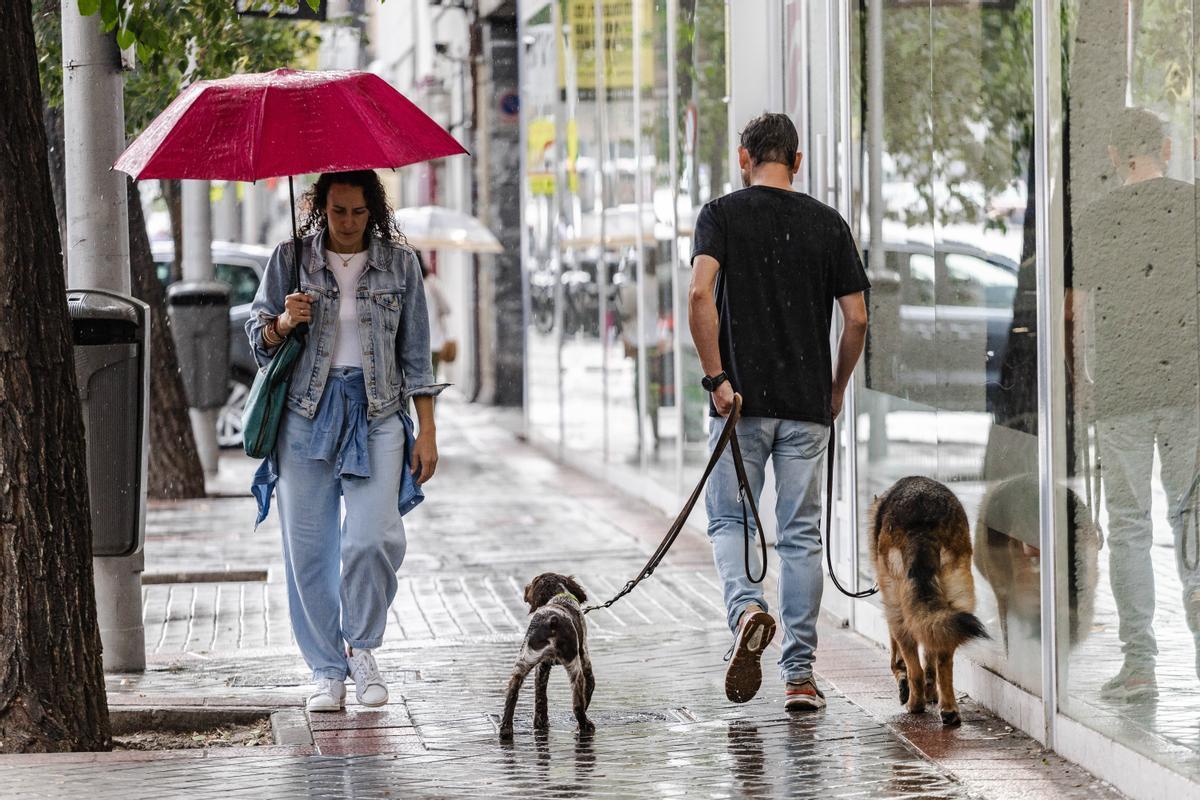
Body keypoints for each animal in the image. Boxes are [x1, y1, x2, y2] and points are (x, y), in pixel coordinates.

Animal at [496, 575, 595, 738]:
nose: (525, 588)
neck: (560, 595)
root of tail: (552, 620)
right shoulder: (585, 658)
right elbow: (588, 692)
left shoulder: (542, 667)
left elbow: (540, 697)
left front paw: (540, 723)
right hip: (574, 666)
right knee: (577, 705)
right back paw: (586, 726)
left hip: (524, 660)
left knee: (512, 692)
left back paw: (506, 728)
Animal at [868, 474, 988, 724]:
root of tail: (921, 524)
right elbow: (930, 657)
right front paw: (932, 692)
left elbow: (898, 659)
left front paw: (904, 682)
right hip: (956, 595)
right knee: (943, 659)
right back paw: (948, 709)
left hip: (897, 610)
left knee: (915, 668)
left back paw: (915, 703)